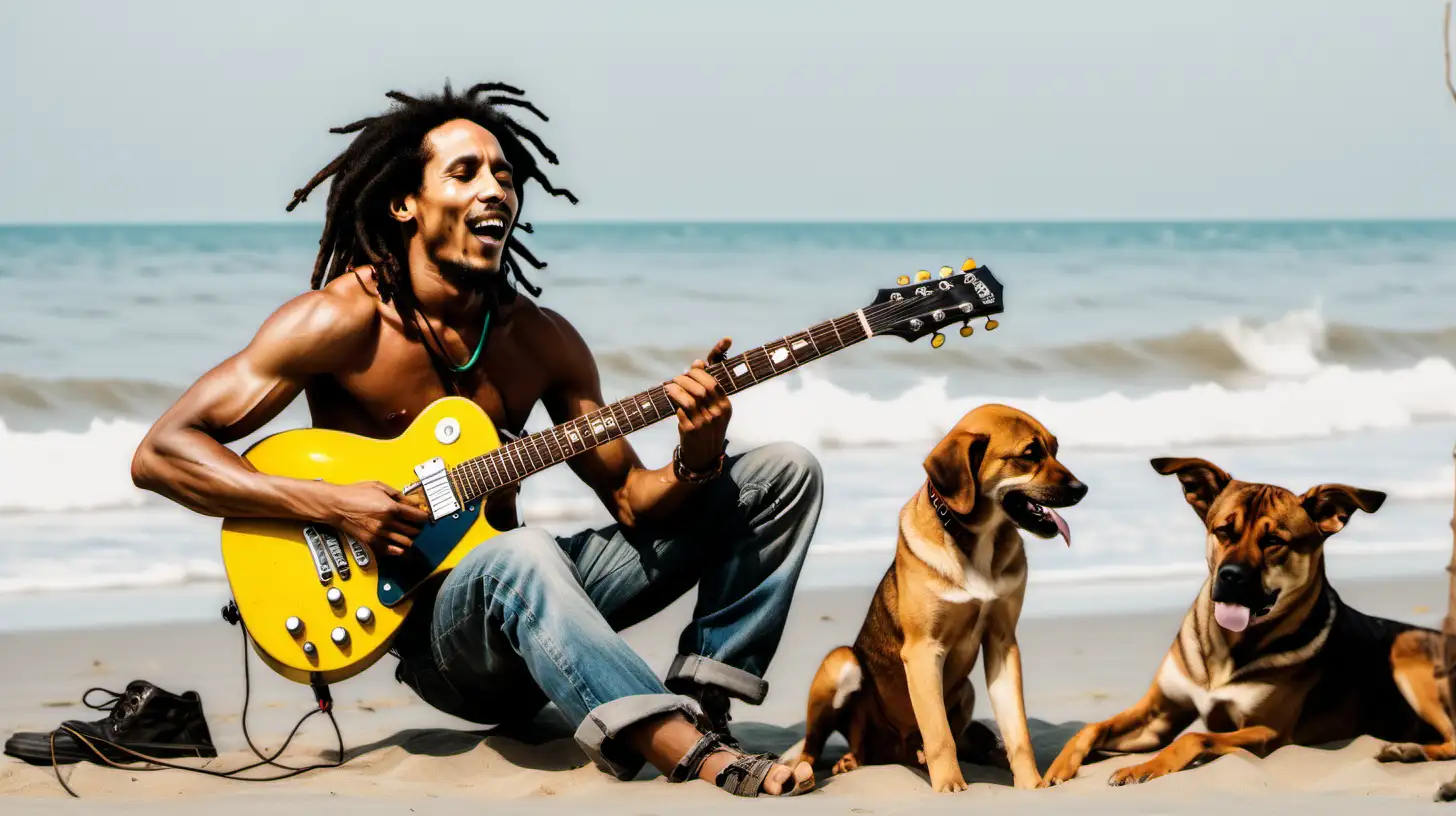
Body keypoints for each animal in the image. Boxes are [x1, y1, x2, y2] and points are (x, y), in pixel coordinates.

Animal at [792, 405, 1089, 792]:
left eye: (1054, 449)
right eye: (1029, 454)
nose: (1082, 489)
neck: (977, 540)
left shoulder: (1002, 643)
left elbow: (1017, 732)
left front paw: (1031, 784)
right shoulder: (923, 650)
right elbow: (939, 734)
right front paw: (950, 786)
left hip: (967, 690)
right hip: (839, 662)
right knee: (814, 746)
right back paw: (821, 767)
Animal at [1042, 454, 1450, 786]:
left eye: (1274, 541)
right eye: (1224, 530)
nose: (1231, 576)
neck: (1227, 647)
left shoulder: (1268, 731)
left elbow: (1194, 737)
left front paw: (1143, 767)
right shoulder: (1160, 713)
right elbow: (1092, 728)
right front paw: (1057, 769)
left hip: (1407, 651)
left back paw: (1410, 751)